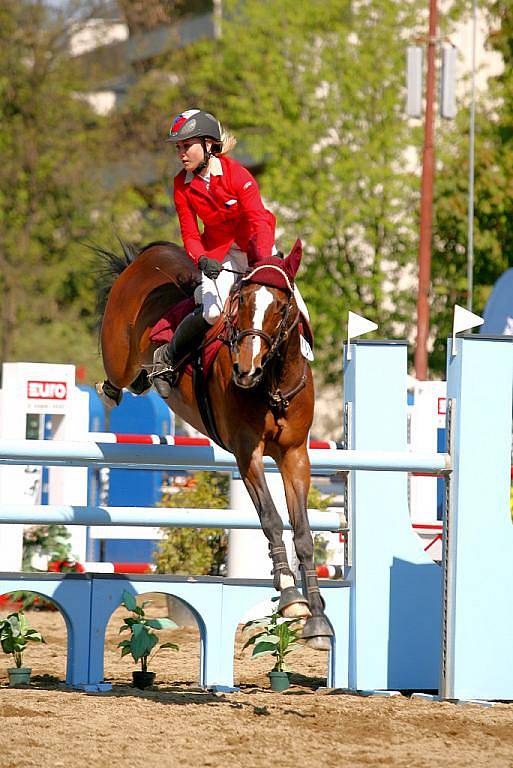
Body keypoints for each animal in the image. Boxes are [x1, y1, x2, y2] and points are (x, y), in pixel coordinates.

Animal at [94, 238, 334, 648]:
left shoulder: (295, 456)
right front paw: (289, 594)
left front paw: (316, 617)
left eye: (282, 306)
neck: (272, 384)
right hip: (119, 357)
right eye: (243, 302)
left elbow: (303, 533)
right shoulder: (247, 454)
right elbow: (271, 519)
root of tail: (148, 255)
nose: (245, 370)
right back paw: (119, 387)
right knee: (119, 379)